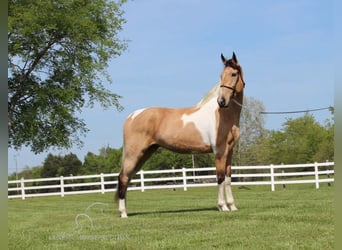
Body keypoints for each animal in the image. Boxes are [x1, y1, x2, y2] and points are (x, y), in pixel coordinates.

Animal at [116, 52, 244, 217]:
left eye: (233, 74)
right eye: (221, 75)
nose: (221, 101)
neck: (223, 114)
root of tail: (132, 116)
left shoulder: (229, 151)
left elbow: (228, 179)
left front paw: (232, 206)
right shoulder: (220, 151)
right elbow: (220, 178)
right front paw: (222, 206)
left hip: (145, 153)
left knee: (127, 178)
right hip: (134, 154)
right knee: (123, 178)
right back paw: (123, 213)